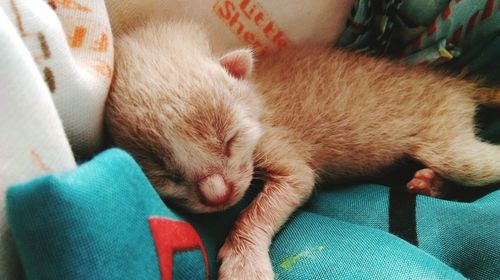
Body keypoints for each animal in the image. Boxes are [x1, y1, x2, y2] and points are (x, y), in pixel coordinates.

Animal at [106, 20, 500, 280]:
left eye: (230, 139)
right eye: (165, 173)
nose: (220, 196)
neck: (258, 95)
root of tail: (452, 81)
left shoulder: (278, 145)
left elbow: (275, 197)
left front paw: (243, 261)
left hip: (448, 140)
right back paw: (428, 183)